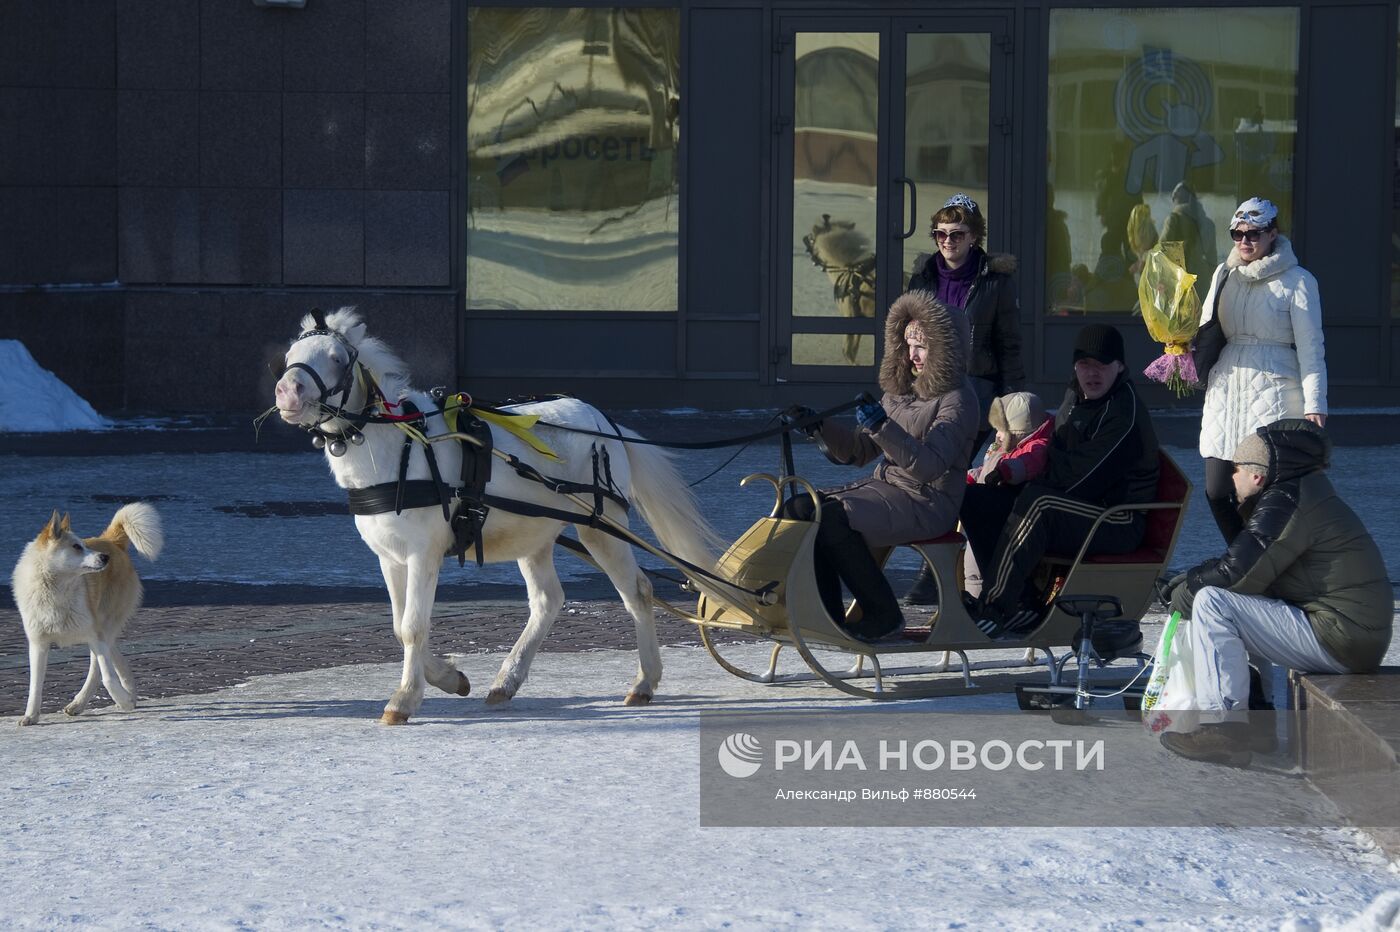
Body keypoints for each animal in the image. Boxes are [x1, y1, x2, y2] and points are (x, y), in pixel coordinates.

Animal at [10, 503, 162, 722]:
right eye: (76, 546)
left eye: (83, 544)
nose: (104, 557)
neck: (55, 592)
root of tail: (111, 541)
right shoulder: (38, 643)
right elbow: (35, 685)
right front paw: (30, 716)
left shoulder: (94, 635)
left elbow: (107, 676)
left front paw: (123, 701)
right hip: (103, 629)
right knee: (115, 655)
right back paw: (128, 692)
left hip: (103, 625)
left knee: (99, 668)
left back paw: (99, 701)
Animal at [271, 307, 722, 722]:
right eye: (290, 354)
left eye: (336, 357)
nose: (287, 392)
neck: (401, 447)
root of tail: (603, 422)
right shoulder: (390, 556)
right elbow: (401, 627)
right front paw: (448, 678)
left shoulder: (423, 554)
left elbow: (414, 626)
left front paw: (404, 699)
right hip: (535, 535)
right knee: (548, 600)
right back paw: (507, 680)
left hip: (603, 527)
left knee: (638, 592)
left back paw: (644, 681)